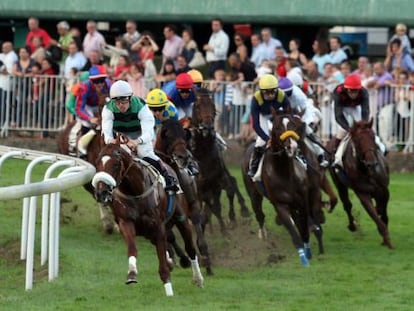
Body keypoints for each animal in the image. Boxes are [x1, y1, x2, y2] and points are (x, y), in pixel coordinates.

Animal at [92, 143, 205, 296]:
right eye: (97, 163)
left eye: (116, 164)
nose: (101, 193)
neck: (134, 191)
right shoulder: (126, 222)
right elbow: (132, 248)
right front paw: (132, 274)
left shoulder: (158, 226)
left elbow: (162, 260)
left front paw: (169, 291)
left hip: (181, 219)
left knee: (190, 249)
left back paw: (198, 278)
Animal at [154, 119, 213, 276]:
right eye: (168, 136)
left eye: (184, 136)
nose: (184, 157)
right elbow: (170, 237)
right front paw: (180, 259)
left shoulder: (193, 205)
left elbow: (198, 231)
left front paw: (206, 260)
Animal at [190, 88, 249, 234]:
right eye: (197, 106)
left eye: (213, 107)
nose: (207, 127)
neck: (203, 154)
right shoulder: (199, 188)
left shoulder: (217, 180)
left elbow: (224, 195)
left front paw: (228, 225)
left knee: (231, 184)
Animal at [239, 112, 314, 266]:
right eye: (278, 128)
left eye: (292, 125)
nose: (292, 146)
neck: (285, 173)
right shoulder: (280, 205)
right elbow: (292, 231)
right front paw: (303, 259)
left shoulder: (302, 202)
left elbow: (303, 227)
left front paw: (308, 250)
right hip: (254, 195)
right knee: (259, 214)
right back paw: (263, 234)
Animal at [326, 119, 392, 249]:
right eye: (357, 140)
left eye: (373, 136)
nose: (372, 163)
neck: (366, 170)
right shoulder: (362, 193)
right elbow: (375, 216)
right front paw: (387, 240)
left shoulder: (383, 189)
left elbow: (383, 211)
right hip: (339, 184)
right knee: (347, 204)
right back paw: (352, 225)